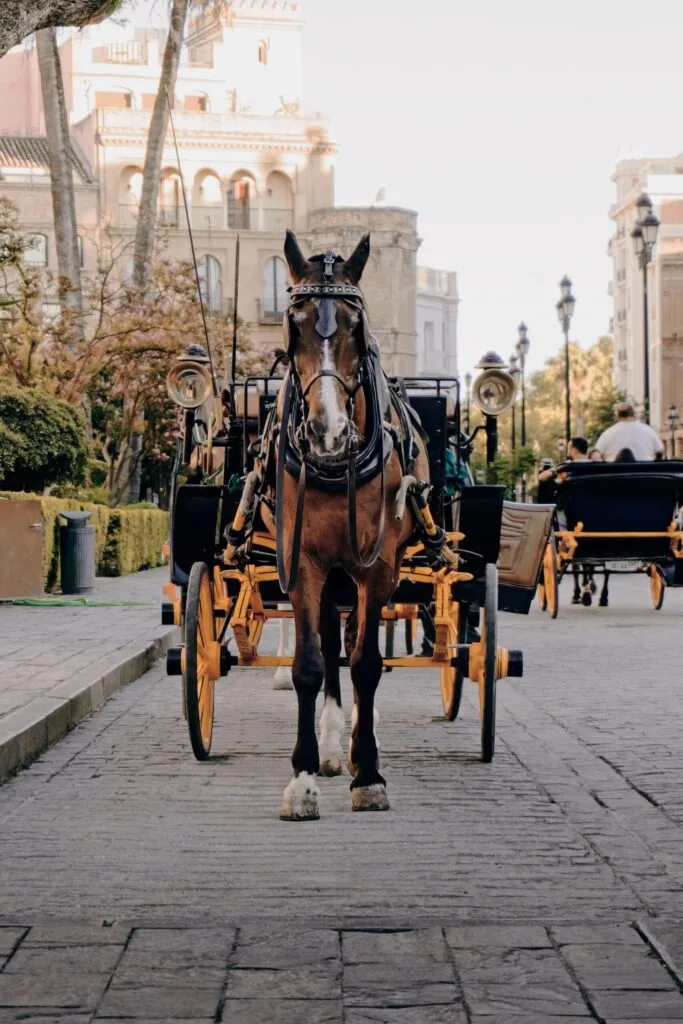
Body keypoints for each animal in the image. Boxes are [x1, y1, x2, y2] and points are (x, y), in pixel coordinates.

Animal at [258, 230, 431, 820]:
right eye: (294, 322)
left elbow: (366, 664)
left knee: (354, 645)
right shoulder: (303, 561)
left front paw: (370, 773)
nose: (328, 431)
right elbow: (311, 663)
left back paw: (355, 743)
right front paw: (304, 777)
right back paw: (334, 746)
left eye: (356, 326)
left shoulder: (376, 566)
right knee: (332, 646)